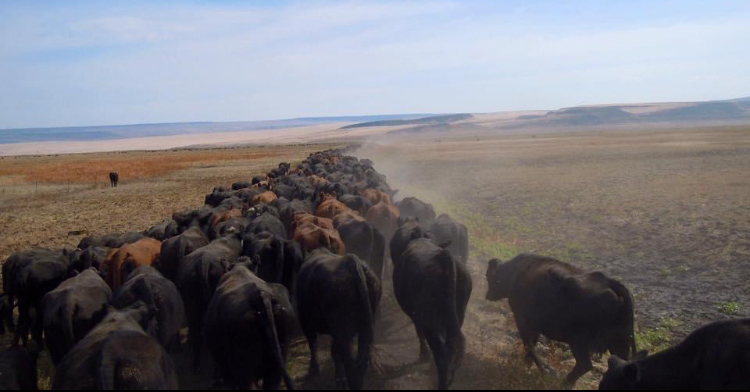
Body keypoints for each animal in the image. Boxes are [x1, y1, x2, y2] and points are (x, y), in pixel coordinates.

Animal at [296, 250, 382, 390]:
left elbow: (313, 344)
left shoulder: (306, 322)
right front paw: (339, 378)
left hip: (342, 330)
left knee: (351, 367)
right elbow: (335, 352)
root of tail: (352, 262)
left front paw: (314, 369)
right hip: (365, 327)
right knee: (360, 364)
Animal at [394, 239, 470, 388]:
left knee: (441, 352)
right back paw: (449, 379)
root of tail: (444, 258)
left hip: (430, 321)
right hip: (457, 317)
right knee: (454, 347)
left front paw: (423, 355)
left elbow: (419, 332)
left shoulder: (416, 315)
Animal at [484, 254, 636, 386]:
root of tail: (611, 283)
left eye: (489, 277)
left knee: (584, 365)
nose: (487, 295)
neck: (516, 272)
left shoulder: (523, 321)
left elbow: (529, 346)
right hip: (618, 344)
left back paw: (564, 383)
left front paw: (547, 370)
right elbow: (531, 346)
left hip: (578, 342)